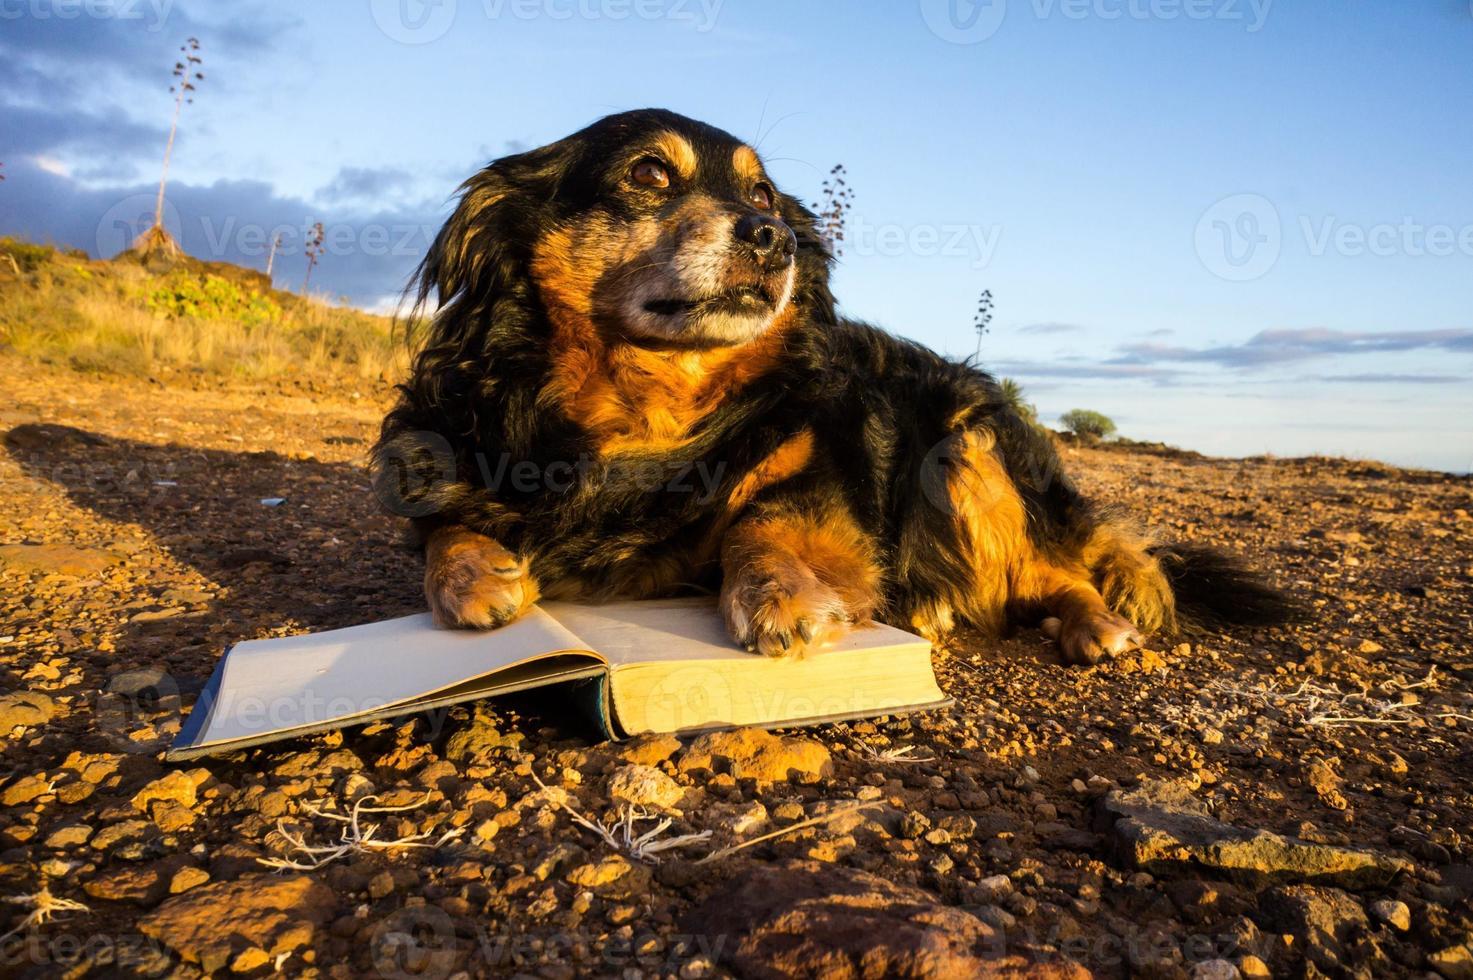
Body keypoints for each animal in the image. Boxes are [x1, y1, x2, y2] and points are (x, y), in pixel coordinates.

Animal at [374, 109, 1296, 666]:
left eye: (763, 193)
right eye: (647, 175)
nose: (773, 237)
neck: (651, 408)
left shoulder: (818, 490)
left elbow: (763, 522)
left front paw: (783, 596)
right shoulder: (450, 458)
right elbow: (441, 532)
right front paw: (475, 575)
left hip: (965, 447)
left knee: (1058, 567)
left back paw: (1092, 621)